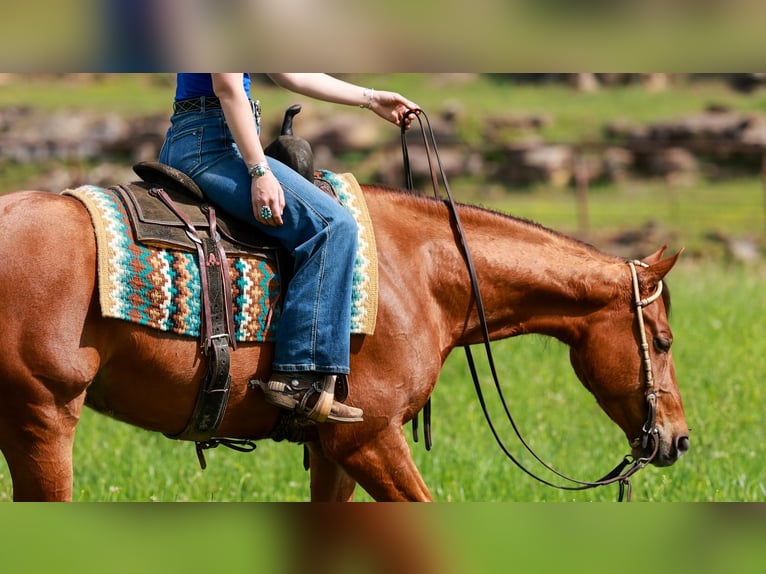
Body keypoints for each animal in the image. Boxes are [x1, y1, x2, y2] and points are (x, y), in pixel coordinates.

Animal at [0, 182, 689, 501]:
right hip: (42, 418)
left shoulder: (331, 448)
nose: (678, 440)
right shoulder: (371, 438)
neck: (423, 275)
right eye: (662, 341)